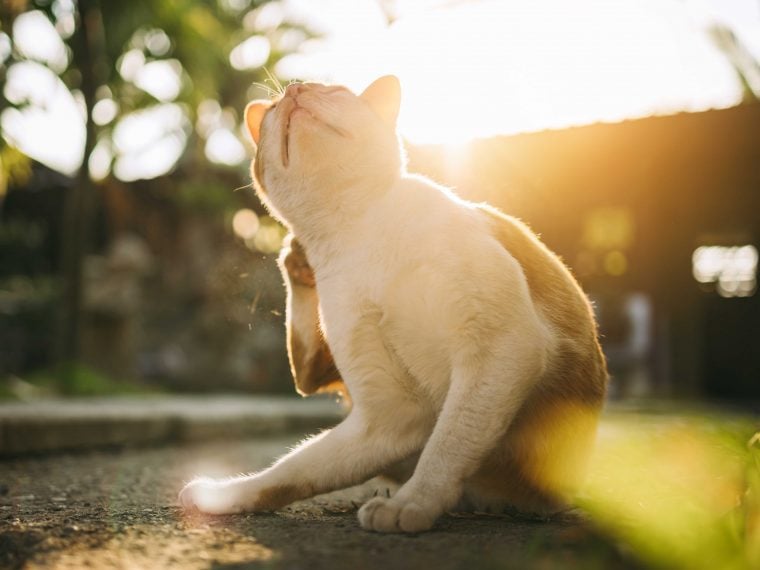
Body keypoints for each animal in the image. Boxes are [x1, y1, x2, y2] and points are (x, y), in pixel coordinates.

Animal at [177, 73, 604, 532]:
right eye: (275, 108)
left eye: (331, 91)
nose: (295, 89)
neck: (354, 233)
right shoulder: (394, 415)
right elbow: (289, 473)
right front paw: (220, 496)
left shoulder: (501, 346)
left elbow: (446, 446)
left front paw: (411, 506)